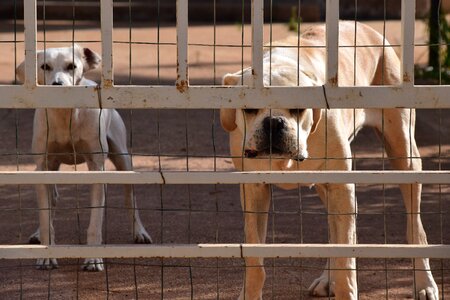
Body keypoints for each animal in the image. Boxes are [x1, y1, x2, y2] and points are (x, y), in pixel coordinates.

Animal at [221, 21, 440, 300]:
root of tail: (365, 27)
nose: (274, 122)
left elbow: (346, 256)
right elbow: (254, 258)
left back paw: (424, 283)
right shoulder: (253, 191)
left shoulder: (341, 187)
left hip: (404, 156)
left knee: (414, 227)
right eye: (249, 109)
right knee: (336, 232)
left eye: (298, 108)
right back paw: (328, 279)